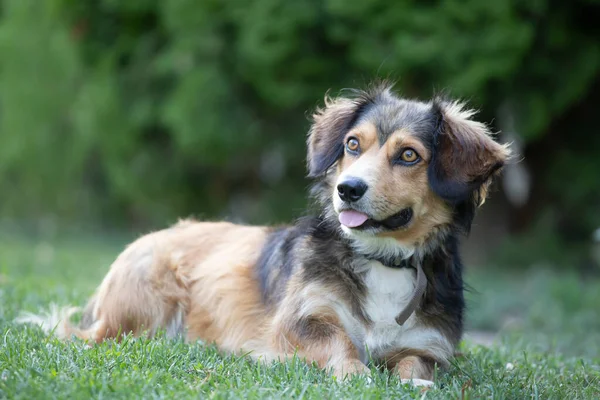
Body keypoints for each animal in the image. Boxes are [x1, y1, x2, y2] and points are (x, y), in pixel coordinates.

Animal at [19, 83, 510, 386]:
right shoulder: (300, 321)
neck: (382, 258)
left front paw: (415, 383)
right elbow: (338, 343)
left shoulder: (428, 343)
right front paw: (356, 374)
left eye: (409, 155)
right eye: (353, 145)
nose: (347, 190)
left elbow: (416, 363)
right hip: (136, 313)